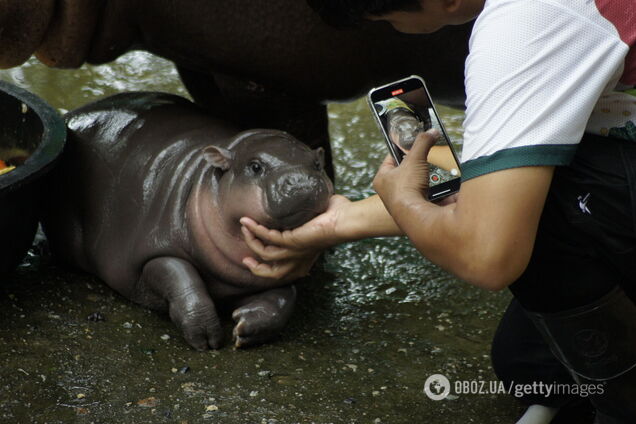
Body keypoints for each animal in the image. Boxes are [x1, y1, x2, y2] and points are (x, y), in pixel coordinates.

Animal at [43, 92, 332, 348]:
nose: (301, 181)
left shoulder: (274, 275)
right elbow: (183, 280)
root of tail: (72, 115)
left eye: (317, 165)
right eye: (255, 166)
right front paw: (206, 338)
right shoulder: (155, 251)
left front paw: (246, 327)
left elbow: (284, 298)